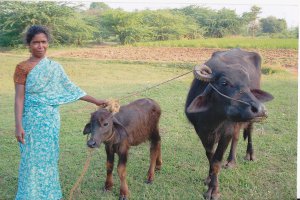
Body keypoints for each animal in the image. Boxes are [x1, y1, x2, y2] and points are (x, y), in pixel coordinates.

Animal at [184, 48, 274, 198]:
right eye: (224, 83)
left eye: (248, 85)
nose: (260, 109)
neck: (212, 119)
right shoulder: (201, 132)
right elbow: (210, 156)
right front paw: (209, 178)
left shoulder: (226, 132)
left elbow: (216, 161)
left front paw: (213, 190)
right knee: (236, 137)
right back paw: (231, 161)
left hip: (246, 121)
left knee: (249, 132)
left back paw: (250, 155)